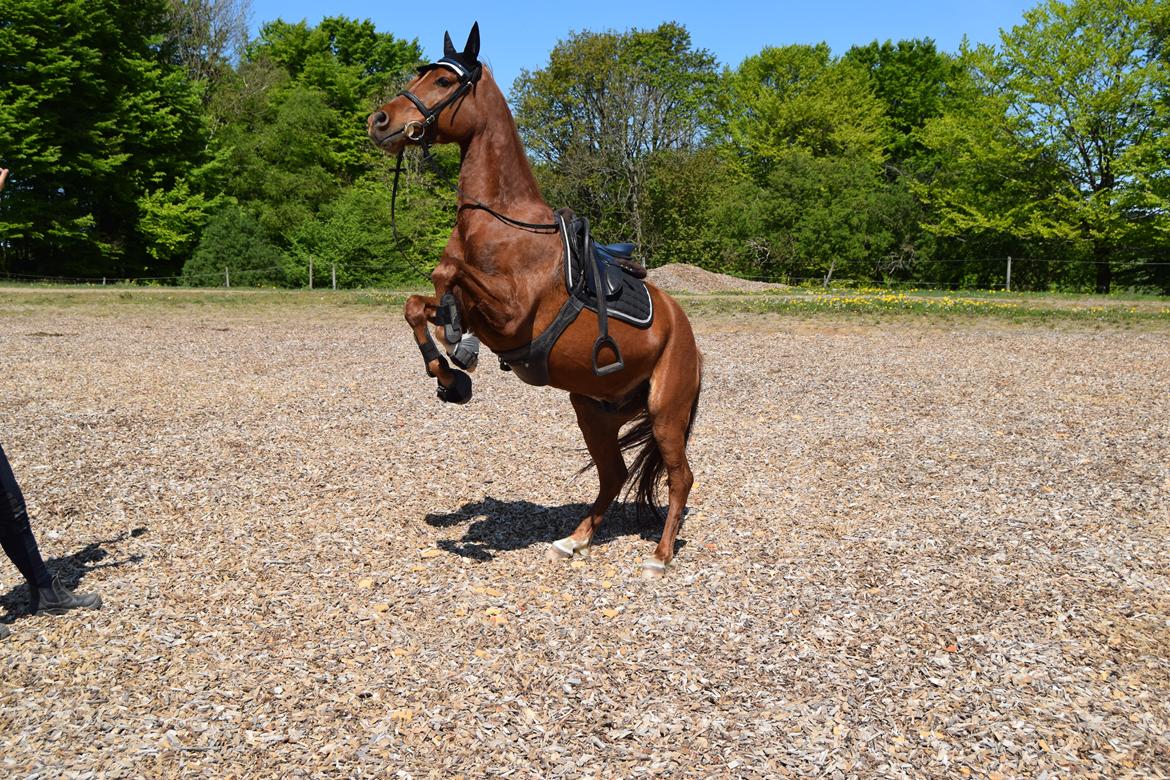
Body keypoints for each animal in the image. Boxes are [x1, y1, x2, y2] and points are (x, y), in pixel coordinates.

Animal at [365, 24, 697, 577]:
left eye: (442, 80)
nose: (379, 121)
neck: (501, 222)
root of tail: (685, 328)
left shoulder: (511, 315)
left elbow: (446, 275)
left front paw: (458, 354)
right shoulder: (483, 313)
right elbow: (420, 303)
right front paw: (449, 373)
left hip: (666, 411)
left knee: (680, 477)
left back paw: (660, 556)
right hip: (593, 410)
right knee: (613, 473)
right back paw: (574, 541)